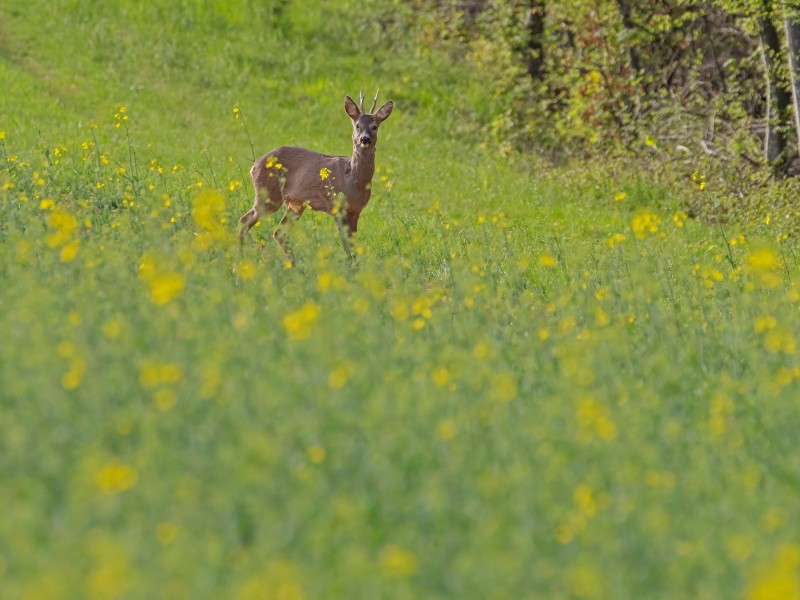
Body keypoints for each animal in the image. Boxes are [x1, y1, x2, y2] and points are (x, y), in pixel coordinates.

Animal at [241, 90, 396, 264]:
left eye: (374, 127)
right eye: (357, 125)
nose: (365, 139)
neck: (353, 181)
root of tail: (254, 166)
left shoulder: (355, 211)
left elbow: (355, 247)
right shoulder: (337, 207)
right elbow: (347, 248)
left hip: (294, 204)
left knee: (278, 232)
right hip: (268, 195)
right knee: (245, 220)